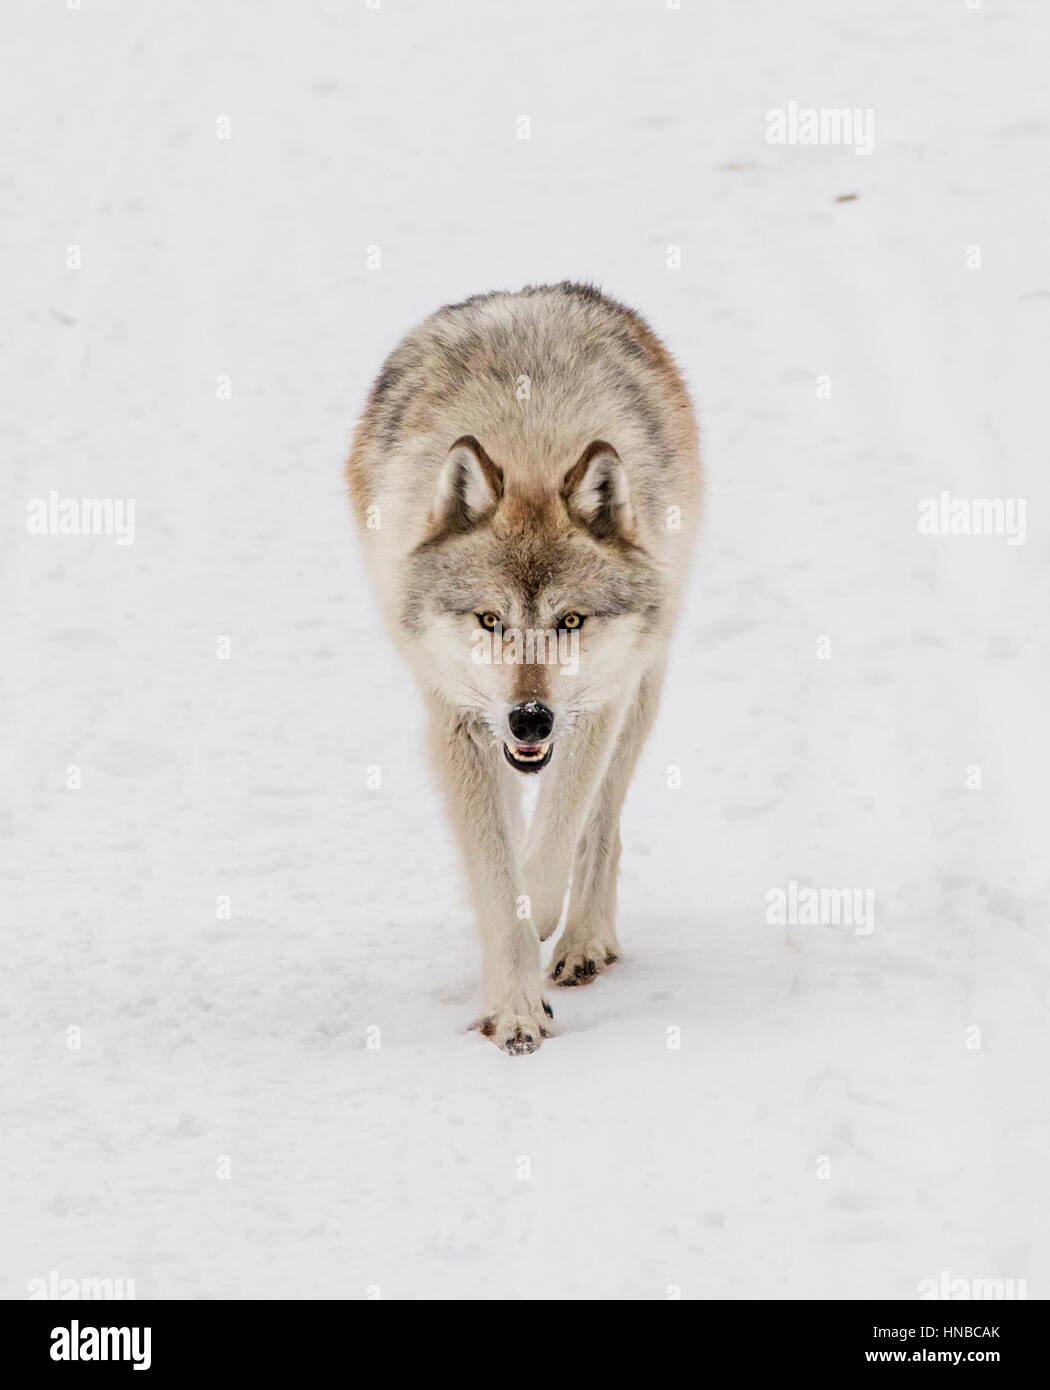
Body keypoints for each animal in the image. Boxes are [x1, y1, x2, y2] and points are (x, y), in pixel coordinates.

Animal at [347, 283, 701, 1054]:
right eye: (490, 620)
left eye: (568, 621)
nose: (530, 717)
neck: (529, 439)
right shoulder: (459, 723)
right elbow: (493, 872)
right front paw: (513, 1006)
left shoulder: (598, 705)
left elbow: (557, 838)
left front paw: (540, 915)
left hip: (640, 687)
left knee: (602, 825)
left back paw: (584, 942)